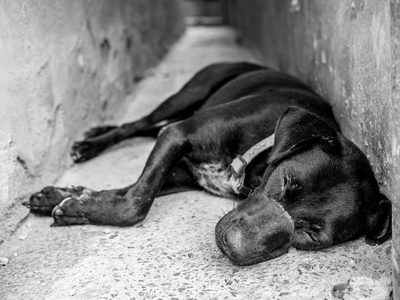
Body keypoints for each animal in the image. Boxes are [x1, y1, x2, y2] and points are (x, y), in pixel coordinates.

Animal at [24, 62, 390, 264]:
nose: (229, 245)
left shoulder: (181, 170)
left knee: (145, 129)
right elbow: (137, 202)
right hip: (187, 96)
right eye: (284, 182)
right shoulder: (178, 134)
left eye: (312, 236)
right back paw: (91, 142)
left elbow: (129, 192)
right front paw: (71, 201)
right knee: (139, 123)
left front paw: (70, 200)